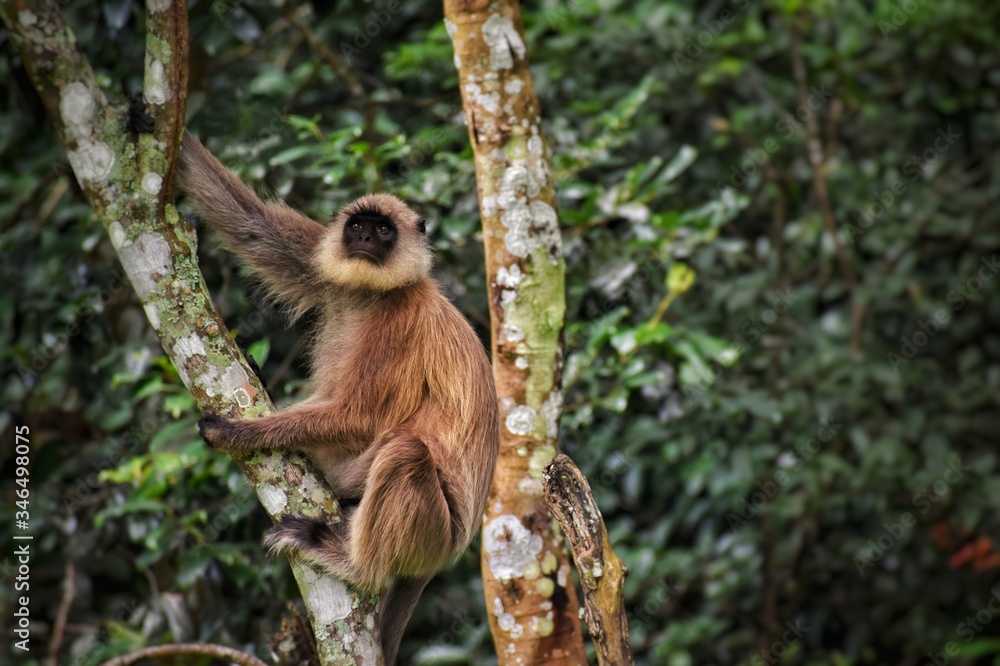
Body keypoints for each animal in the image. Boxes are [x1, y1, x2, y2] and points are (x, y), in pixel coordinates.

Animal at [176, 133, 500, 665]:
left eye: (383, 230)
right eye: (358, 227)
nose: (365, 241)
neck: (373, 294)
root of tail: (446, 555)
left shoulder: (400, 317)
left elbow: (359, 415)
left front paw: (236, 431)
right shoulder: (331, 273)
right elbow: (253, 229)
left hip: (434, 528)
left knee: (404, 453)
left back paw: (352, 563)